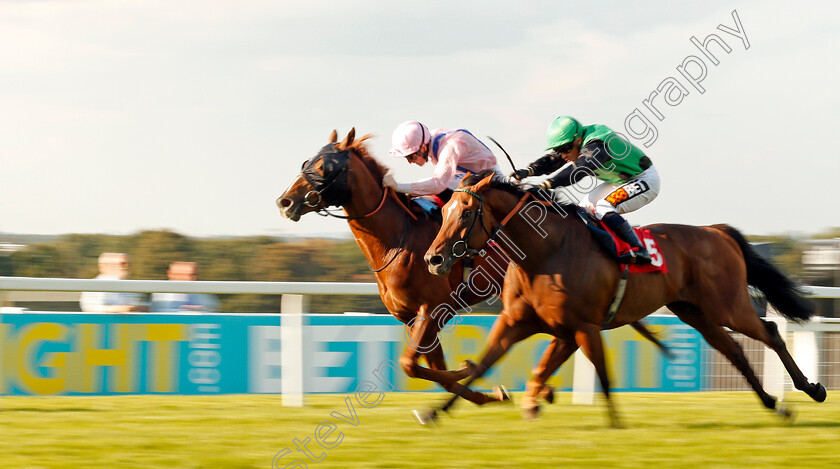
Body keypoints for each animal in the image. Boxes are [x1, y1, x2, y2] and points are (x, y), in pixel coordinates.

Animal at [276, 129, 668, 410]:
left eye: (325, 168)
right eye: (307, 161)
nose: (285, 201)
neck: (397, 238)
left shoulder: (432, 310)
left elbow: (413, 366)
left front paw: (484, 386)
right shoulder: (413, 317)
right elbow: (431, 369)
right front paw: (485, 391)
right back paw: (542, 390)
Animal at [424, 170, 824, 426]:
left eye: (465, 212)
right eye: (443, 211)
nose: (433, 259)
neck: (545, 253)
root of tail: (717, 231)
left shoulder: (582, 327)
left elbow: (602, 373)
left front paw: (615, 425)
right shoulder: (521, 323)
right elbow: (484, 365)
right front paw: (434, 412)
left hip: (728, 305)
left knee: (770, 332)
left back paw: (811, 389)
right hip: (694, 311)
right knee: (735, 350)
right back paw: (774, 405)